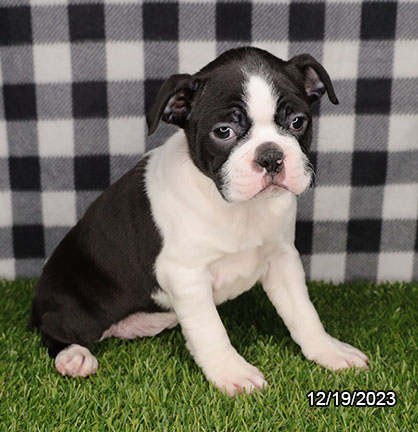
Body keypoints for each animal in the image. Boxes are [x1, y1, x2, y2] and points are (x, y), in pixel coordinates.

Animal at [30, 46, 370, 394]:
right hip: (79, 306)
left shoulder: (282, 259)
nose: (270, 156)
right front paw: (232, 372)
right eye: (223, 131)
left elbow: (303, 312)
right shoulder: (186, 275)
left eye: (297, 122)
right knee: (55, 328)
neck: (239, 208)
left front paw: (328, 350)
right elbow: (211, 330)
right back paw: (74, 356)